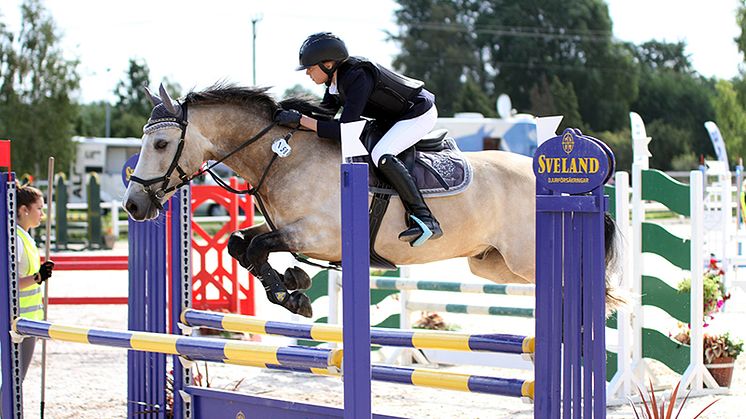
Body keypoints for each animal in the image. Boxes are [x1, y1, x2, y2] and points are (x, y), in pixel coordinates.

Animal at [123, 82, 620, 318]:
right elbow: (240, 244)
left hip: (525, 257)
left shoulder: (321, 236)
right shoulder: (292, 230)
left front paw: (292, 290)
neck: (282, 156)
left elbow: (258, 245)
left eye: (162, 144)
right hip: (492, 264)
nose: (133, 206)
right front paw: (294, 288)